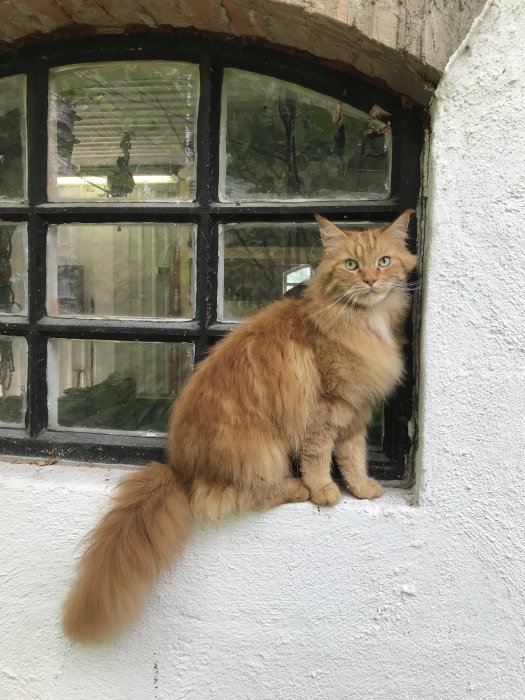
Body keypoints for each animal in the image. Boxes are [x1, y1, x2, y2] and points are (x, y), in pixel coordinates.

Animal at [61, 211, 416, 644]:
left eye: (383, 261)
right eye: (351, 265)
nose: (369, 280)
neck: (362, 321)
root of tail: (178, 468)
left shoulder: (355, 415)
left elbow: (353, 458)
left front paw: (362, 489)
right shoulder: (325, 411)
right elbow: (319, 458)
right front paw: (324, 492)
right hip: (264, 451)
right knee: (252, 495)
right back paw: (297, 488)